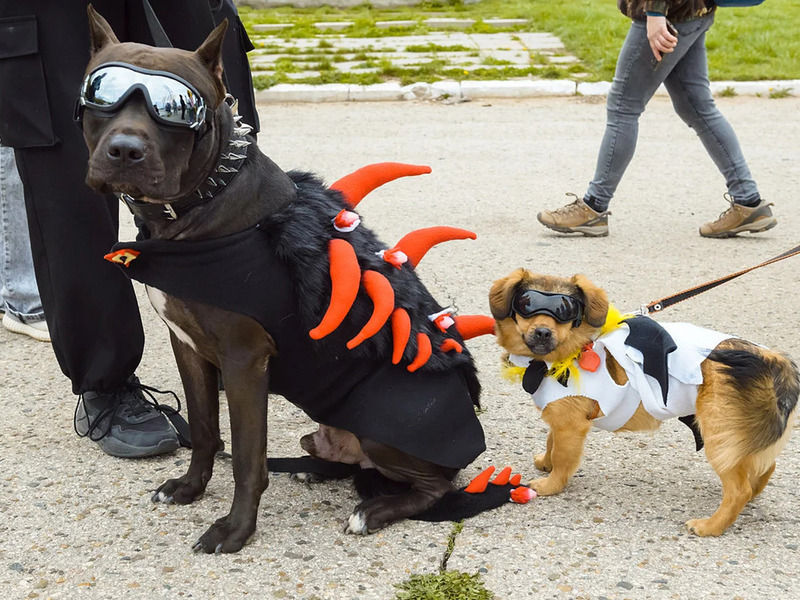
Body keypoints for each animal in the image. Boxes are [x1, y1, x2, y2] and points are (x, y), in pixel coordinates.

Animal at [78, 7, 487, 553]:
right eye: (100, 95)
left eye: (177, 108)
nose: (125, 150)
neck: (202, 201)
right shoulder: (188, 345)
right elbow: (204, 429)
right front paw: (190, 488)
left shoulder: (245, 361)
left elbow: (248, 458)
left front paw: (235, 530)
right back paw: (321, 470)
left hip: (390, 426)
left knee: (436, 487)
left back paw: (374, 510)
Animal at [490, 268, 799, 536]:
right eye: (526, 304)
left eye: (565, 311)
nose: (543, 332)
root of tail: (772, 360)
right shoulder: (560, 418)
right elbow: (550, 442)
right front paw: (546, 462)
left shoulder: (571, 427)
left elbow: (563, 459)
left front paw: (550, 484)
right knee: (764, 468)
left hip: (718, 436)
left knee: (738, 490)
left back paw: (712, 526)